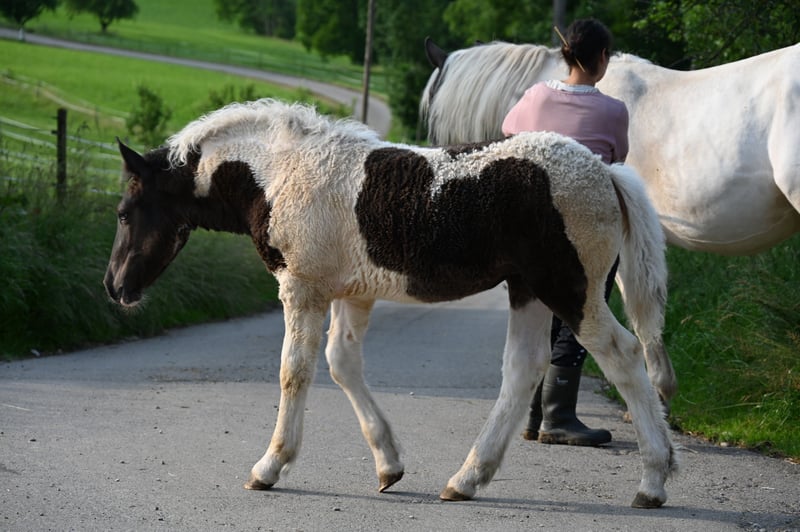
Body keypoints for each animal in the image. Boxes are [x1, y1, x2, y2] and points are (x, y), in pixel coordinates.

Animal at [104, 98, 677, 508]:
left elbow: (295, 371)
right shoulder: (351, 293)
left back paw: (653, 481)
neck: (277, 171)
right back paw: (466, 479)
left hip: (569, 288)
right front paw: (389, 466)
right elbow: (341, 363)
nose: (114, 287)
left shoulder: (302, 288)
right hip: (528, 289)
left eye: (126, 211)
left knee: (623, 355)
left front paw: (270, 467)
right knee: (523, 369)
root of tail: (606, 172)